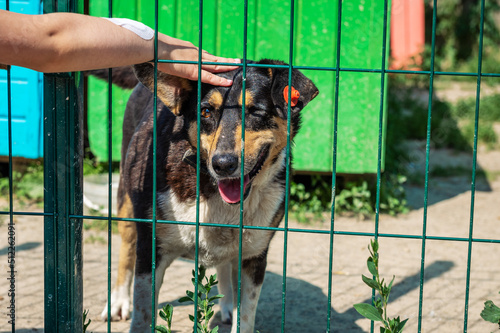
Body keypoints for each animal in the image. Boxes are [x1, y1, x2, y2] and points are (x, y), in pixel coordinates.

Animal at [99, 59, 318, 332]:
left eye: (256, 111)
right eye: (205, 112)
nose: (223, 164)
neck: (212, 190)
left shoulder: (254, 258)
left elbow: (245, 317)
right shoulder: (151, 249)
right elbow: (143, 313)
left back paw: (227, 305)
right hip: (127, 201)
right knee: (127, 247)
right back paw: (118, 301)